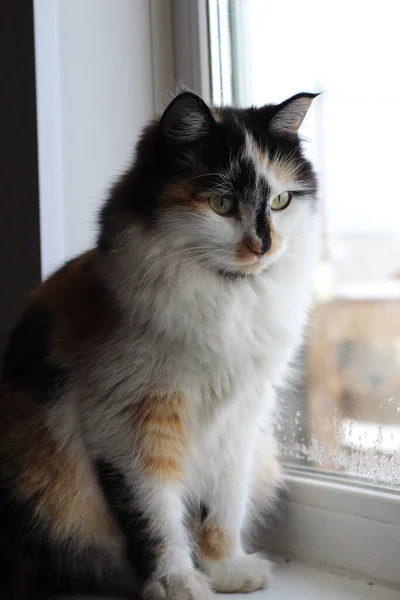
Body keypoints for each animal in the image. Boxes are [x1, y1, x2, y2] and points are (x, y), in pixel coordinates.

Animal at [0, 90, 318, 600]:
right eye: (220, 203)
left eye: (282, 200)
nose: (263, 246)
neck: (228, 300)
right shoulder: (133, 422)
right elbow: (156, 518)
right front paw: (177, 583)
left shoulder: (241, 419)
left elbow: (225, 503)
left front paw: (227, 570)